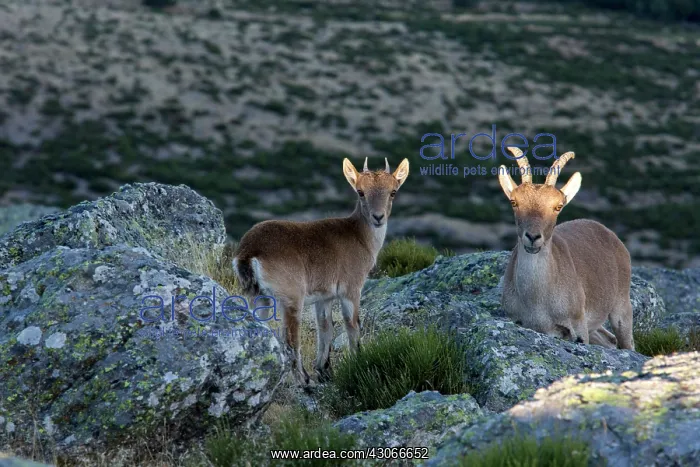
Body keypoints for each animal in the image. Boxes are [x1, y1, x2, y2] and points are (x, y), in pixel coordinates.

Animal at [232, 157, 410, 385]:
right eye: (360, 191)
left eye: (393, 191)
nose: (378, 217)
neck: (359, 236)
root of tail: (249, 252)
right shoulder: (351, 290)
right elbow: (352, 325)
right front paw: (358, 362)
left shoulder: (324, 297)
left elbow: (325, 328)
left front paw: (325, 370)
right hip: (291, 299)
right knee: (290, 340)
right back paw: (304, 381)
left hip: (257, 297)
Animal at [497, 147, 634, 350]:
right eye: (514, 202)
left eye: (558, 206)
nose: (533, 237)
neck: (536, 299)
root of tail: (611, 236)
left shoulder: (578, 327)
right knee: (608, 340)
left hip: (621, 305)